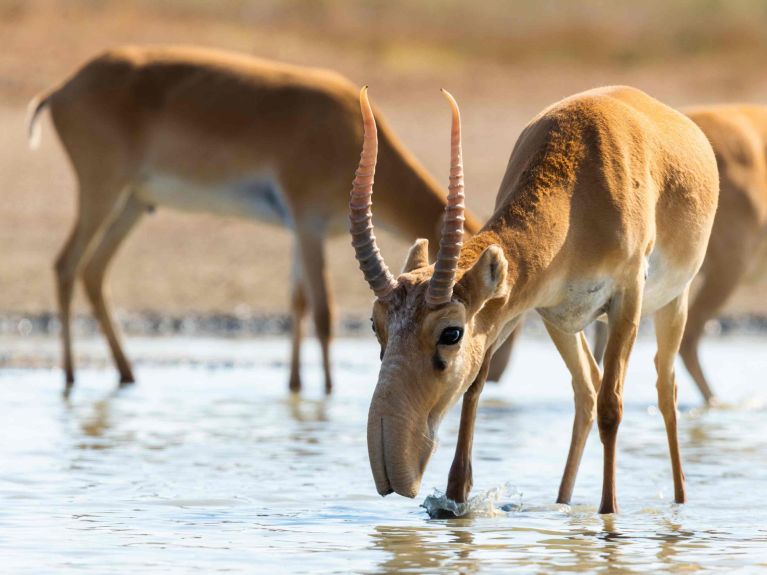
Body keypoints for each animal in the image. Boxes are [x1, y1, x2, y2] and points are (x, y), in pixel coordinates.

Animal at [25, 46, 510, 396]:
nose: (494, 374)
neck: (350, 128)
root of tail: (62, 88)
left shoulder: (299, 230)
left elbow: (297, 301)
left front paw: (295, 385)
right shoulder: (309, 225)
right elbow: (324, 311)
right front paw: (328, 391)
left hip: (134, 203)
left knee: (93, 270)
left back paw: (126, 374)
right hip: (102, 192)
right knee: (66, 264)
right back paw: (70, 377)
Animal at [354, 84, 720, 512]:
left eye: (450, 332)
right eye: (376, 325)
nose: (391, 466)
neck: (578, 192)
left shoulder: (627, 297)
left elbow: (613, 406)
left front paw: (609, 512)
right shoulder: (517, 307)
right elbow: (475, 388)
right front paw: (454, 501)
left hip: (671, 304)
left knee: (664, 389)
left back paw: (679, 501)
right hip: (564, 323)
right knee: (586, 390)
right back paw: (562, 503)